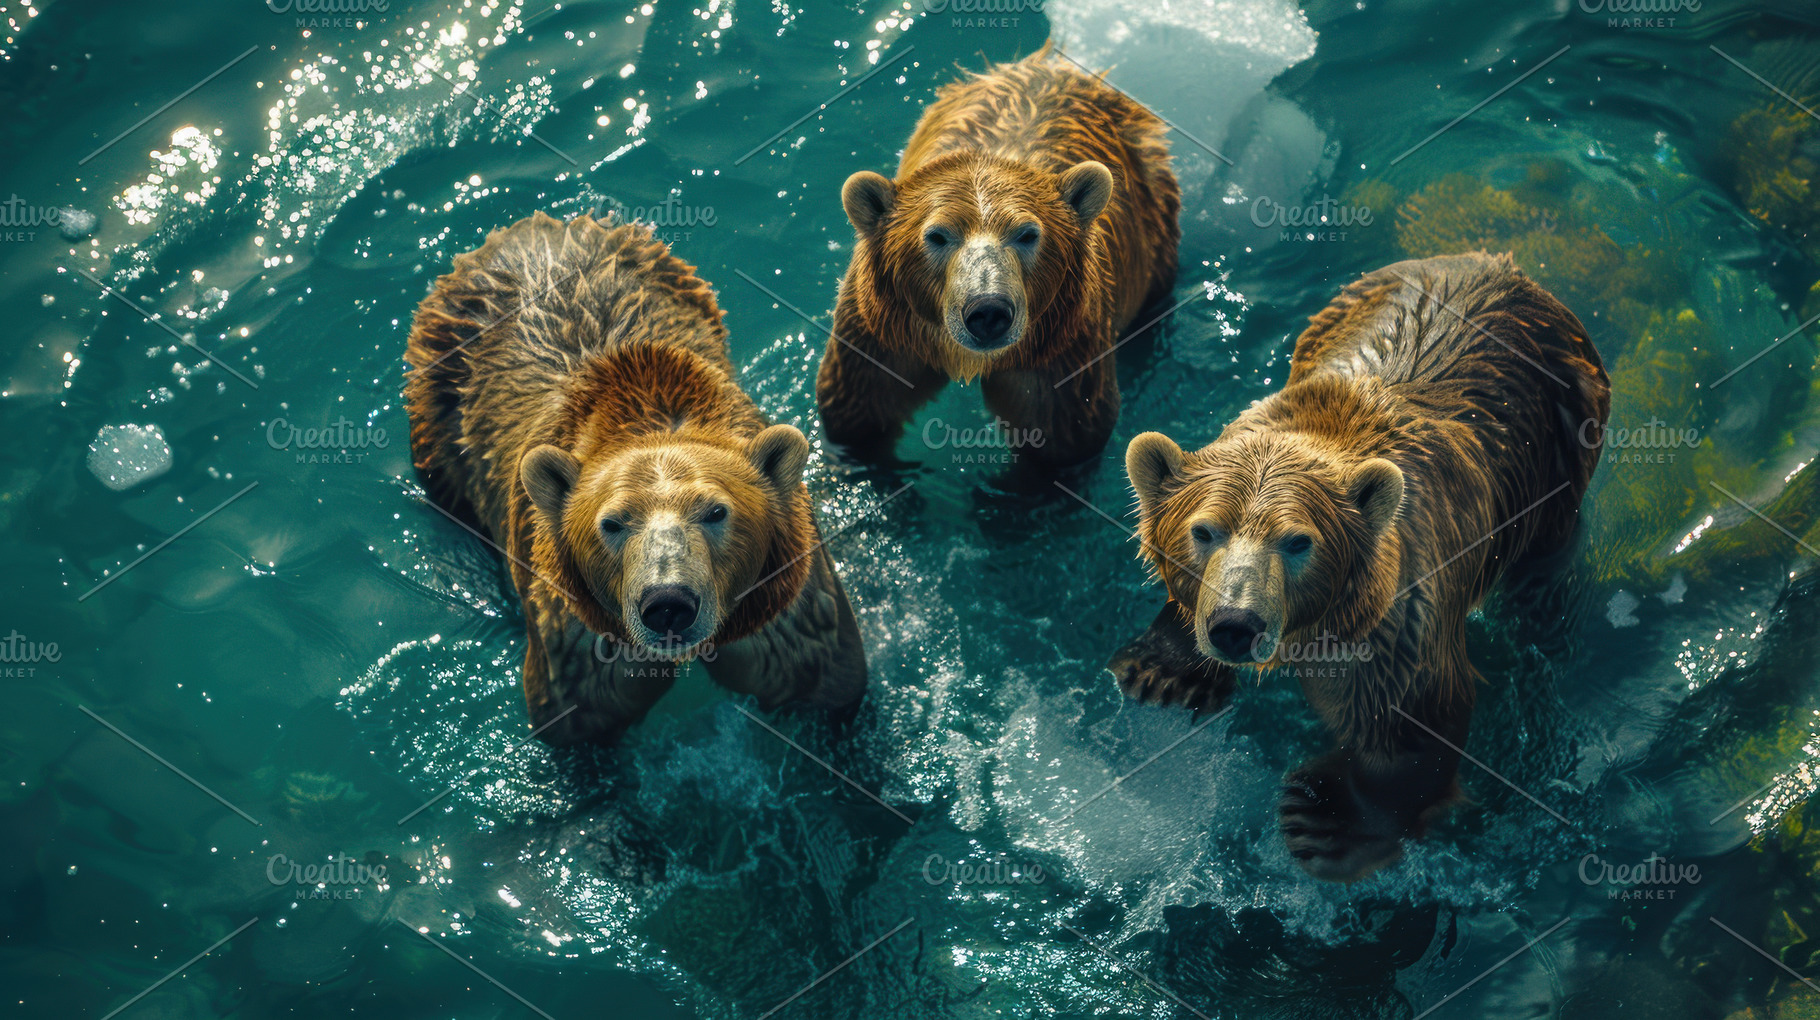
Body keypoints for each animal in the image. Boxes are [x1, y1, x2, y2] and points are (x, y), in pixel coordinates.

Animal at [405, 212, 867, 745]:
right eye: (611, 523)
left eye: (716, 511)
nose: (668, 604)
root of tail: (528, 230)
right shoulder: (577, 625)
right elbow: (580, 711)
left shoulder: (781, 601)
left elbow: (819, 674)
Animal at [815, 46, 1181, 476]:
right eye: (937, 235)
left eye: (1028, 234)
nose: (987, 311)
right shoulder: (883, 335)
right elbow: (858, 416)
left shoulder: (1059, 353)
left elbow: (1060, 441)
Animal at [1108, 252, 1610, 881]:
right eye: (1203, 531)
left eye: (1298, 542)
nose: (1236, 626)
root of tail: (1500, 264)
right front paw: (1162, 673)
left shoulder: (1399, 615)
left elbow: (1411, 719)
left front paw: (1325, 821)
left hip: (1560, 448)